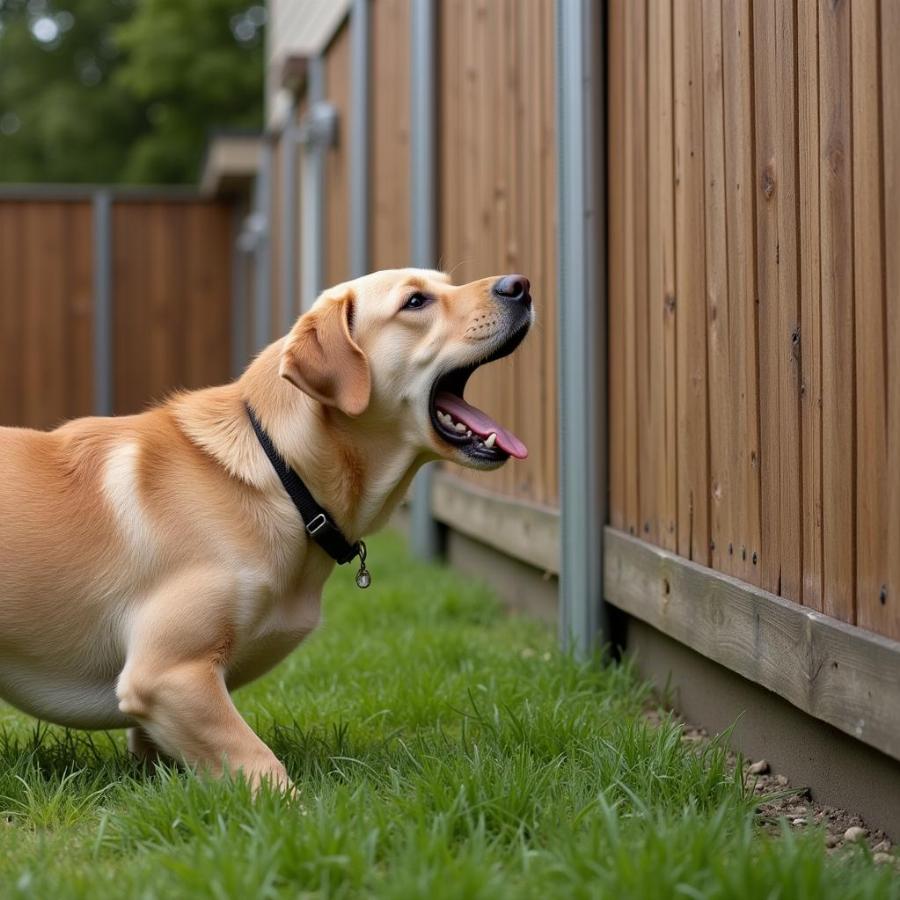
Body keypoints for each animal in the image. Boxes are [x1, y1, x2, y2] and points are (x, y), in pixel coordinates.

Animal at [0, 268, 532, 788]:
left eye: (447, 281)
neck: (282, 472)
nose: (520, 285)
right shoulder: (167, 673)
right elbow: (262, 766)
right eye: (416, 302)